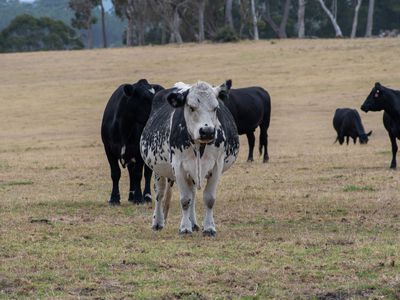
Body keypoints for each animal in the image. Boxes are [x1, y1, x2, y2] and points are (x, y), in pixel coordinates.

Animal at [141, 80, 239, 237]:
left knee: (192, 193)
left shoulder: (216, 166)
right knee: (160, 194)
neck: (199, 146)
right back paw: (158, 222)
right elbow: (185, 199)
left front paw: (209, 228)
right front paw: (185, 228)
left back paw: (194, 223)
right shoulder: (178, 167)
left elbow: (209, 199)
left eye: (215, 108)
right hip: (158, 170)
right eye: (191, 107)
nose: (207, 131)